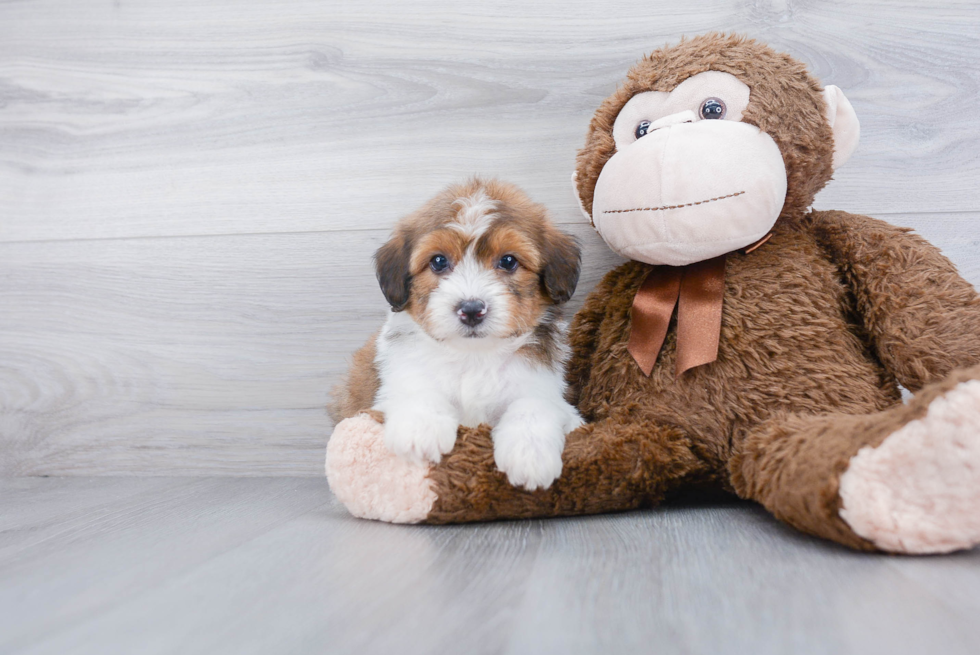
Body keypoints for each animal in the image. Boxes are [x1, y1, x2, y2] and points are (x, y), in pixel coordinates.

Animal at [334, 177, 584, 490]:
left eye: (509, 261)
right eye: (439, 261)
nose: (472, 309)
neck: (473, 356)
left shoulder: (544, 386)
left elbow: (534, 405)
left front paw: (530, 453)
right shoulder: (396, 380)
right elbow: (417, 390)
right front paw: (421, 430)